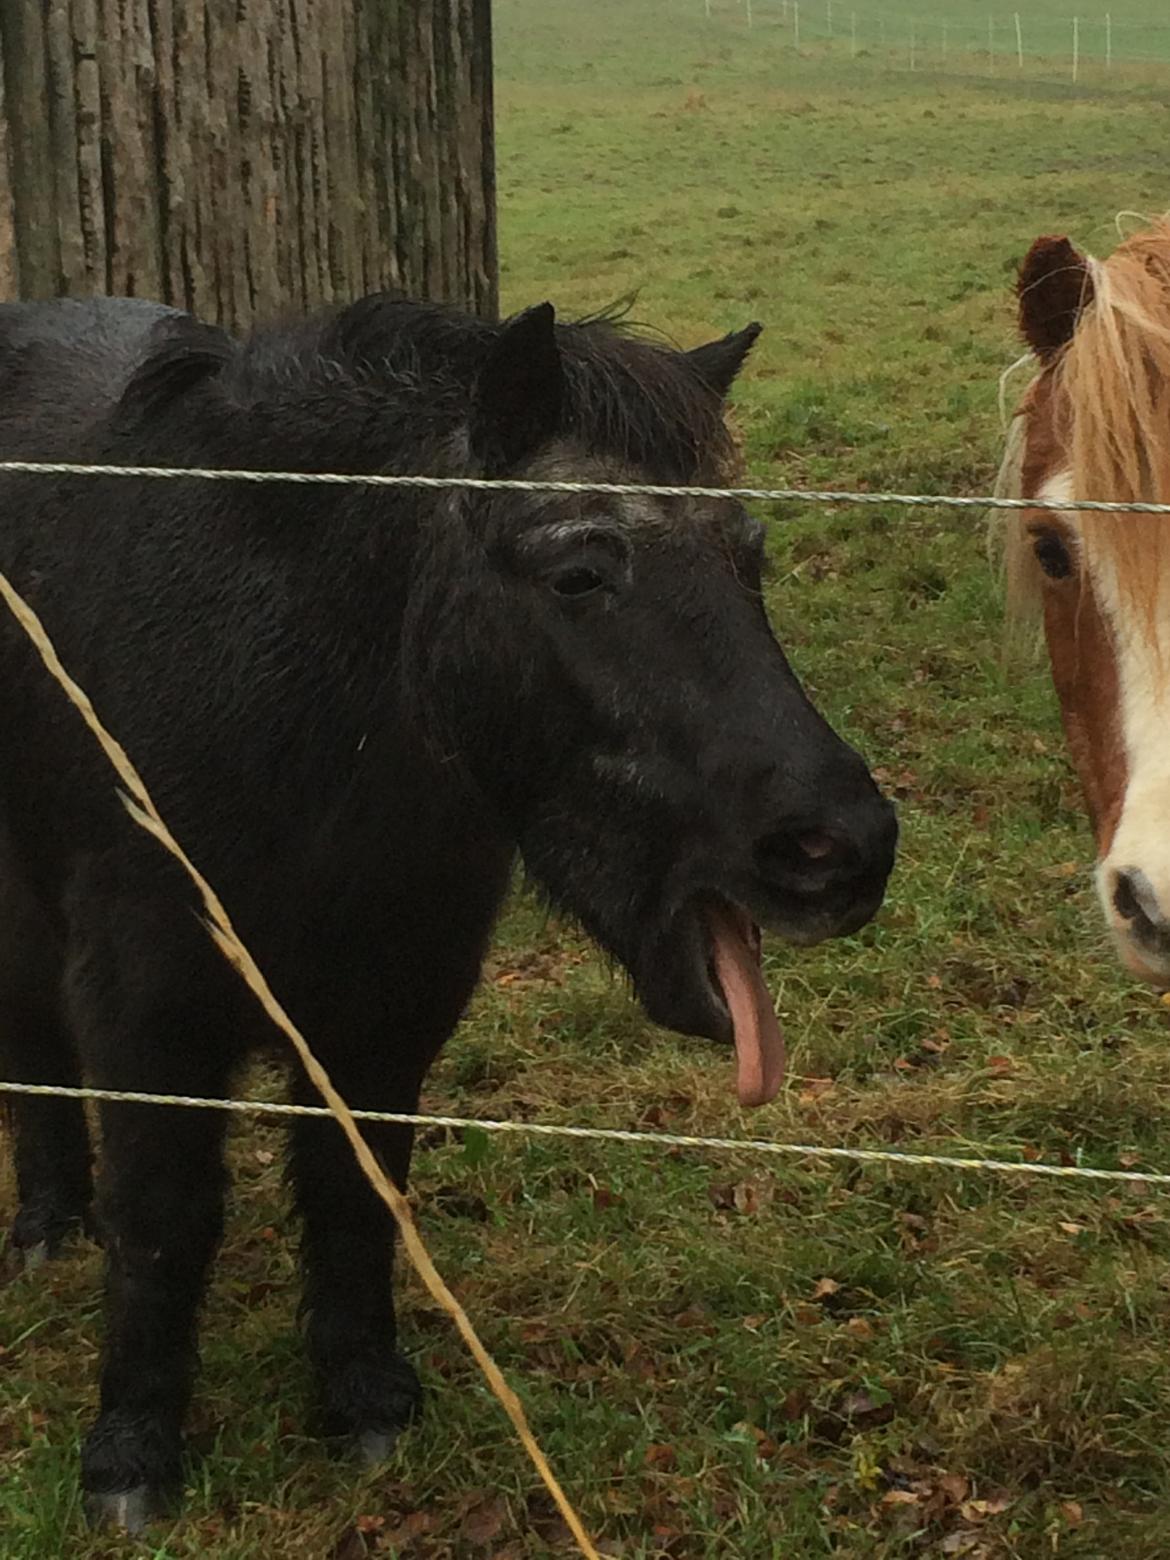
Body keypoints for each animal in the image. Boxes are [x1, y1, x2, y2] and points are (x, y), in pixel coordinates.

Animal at [0, 293, 892, 1522]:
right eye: (580, 572)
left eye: (750, 558)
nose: (840, 851)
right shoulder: (146, 1009)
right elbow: (160, 1221)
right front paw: (131, 1455)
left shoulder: (394, 1004)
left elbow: (359, 1194)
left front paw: (363, 1399)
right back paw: (47, 1223)